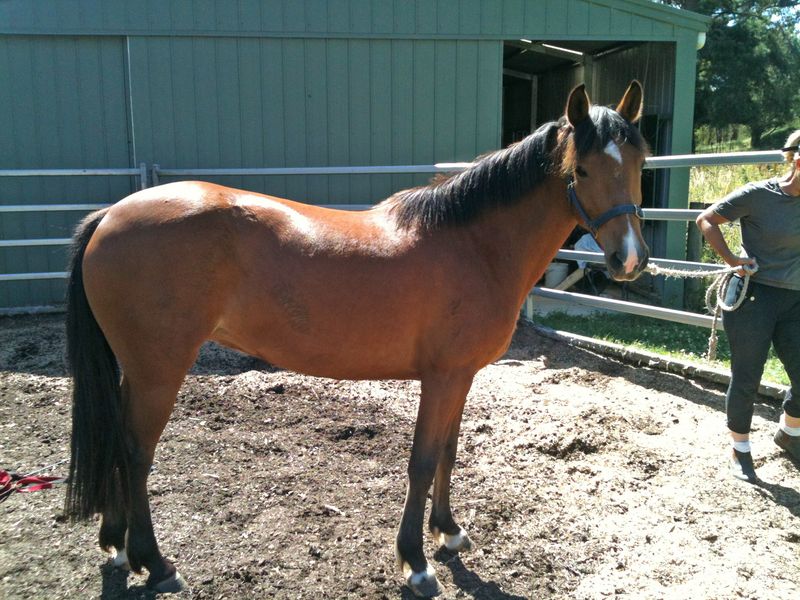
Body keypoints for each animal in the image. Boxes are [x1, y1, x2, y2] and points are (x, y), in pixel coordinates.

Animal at [64, 80, 650, 597]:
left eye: (639, 164)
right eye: (583, 168)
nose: (630, 260)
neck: (474, 246)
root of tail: (111, 214)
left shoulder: (462, 377)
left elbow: (448, 452)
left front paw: (449, 533)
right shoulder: (440, 379)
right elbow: (421, 460)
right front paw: (416, 563)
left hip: (137, 369)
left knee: (118, 442)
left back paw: (117, 547)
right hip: (159, 368)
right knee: (136, 452)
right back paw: (156, 564)